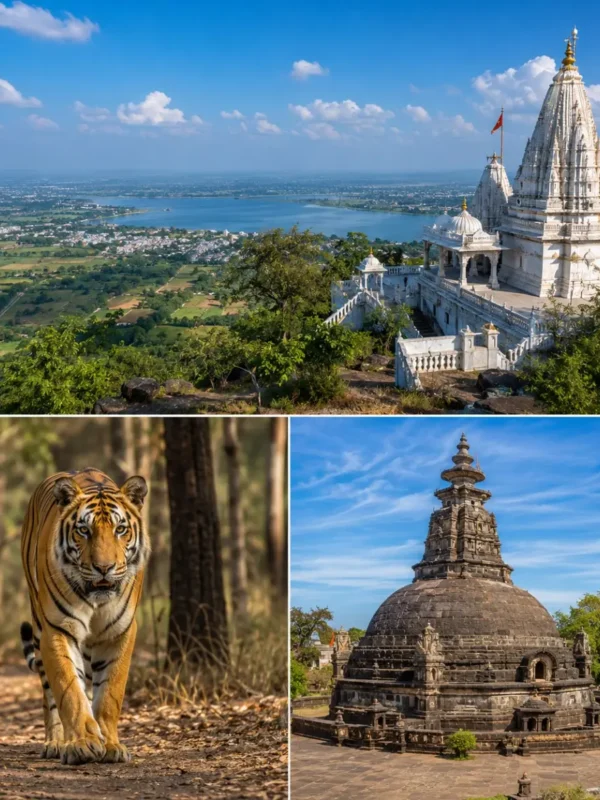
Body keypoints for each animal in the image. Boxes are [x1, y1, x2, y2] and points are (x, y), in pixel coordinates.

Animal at [20, 467, 149, 766]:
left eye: (120, 529)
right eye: (83, 530)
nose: (104, 568)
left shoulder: (120, 632)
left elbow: (110, 693)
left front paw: (111, 745)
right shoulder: (57, 628)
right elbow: (69, 691)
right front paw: (82, 744)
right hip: (38, 624)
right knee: (50, 693)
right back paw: (57, 743)